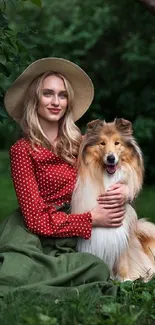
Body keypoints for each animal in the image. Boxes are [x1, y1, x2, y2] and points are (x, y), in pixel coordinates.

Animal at [71, 117, 155, 280]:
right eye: (102, 143)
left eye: (117, 143)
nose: (111, 158)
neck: (108, 178)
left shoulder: (124, 230)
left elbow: (123, 259)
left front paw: (125, 279)